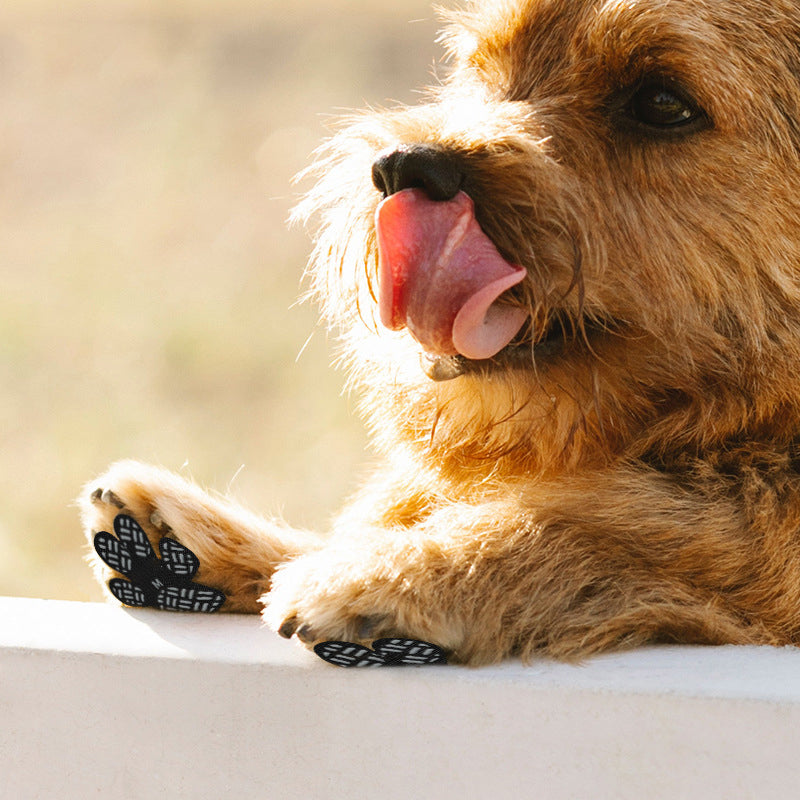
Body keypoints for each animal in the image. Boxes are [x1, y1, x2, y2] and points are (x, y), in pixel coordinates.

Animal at [79, 0, 800, 664]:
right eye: (477, 67)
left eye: (661, 101)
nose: (405, 166)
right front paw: (215, 547)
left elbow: (664, 526)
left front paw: (398, 573)